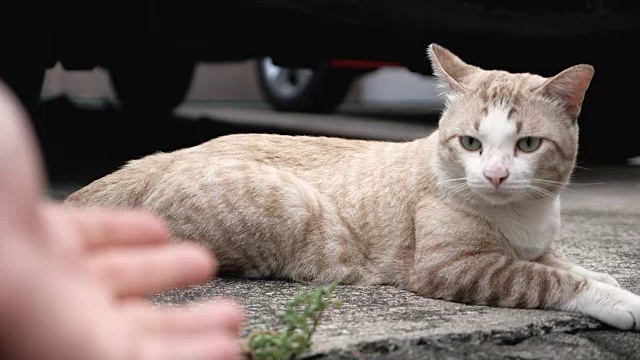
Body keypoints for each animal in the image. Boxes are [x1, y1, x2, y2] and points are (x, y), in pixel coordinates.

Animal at [65, 43, 640, 330]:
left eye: (527, 145)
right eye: (471, 143)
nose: (495, 175)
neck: (524, 216)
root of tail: (165, 156)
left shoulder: (534, 246)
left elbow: (566, 264)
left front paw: (608, 279)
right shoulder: (455, 269)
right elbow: (550, 280)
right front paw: (618, 300)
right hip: (291, 210)